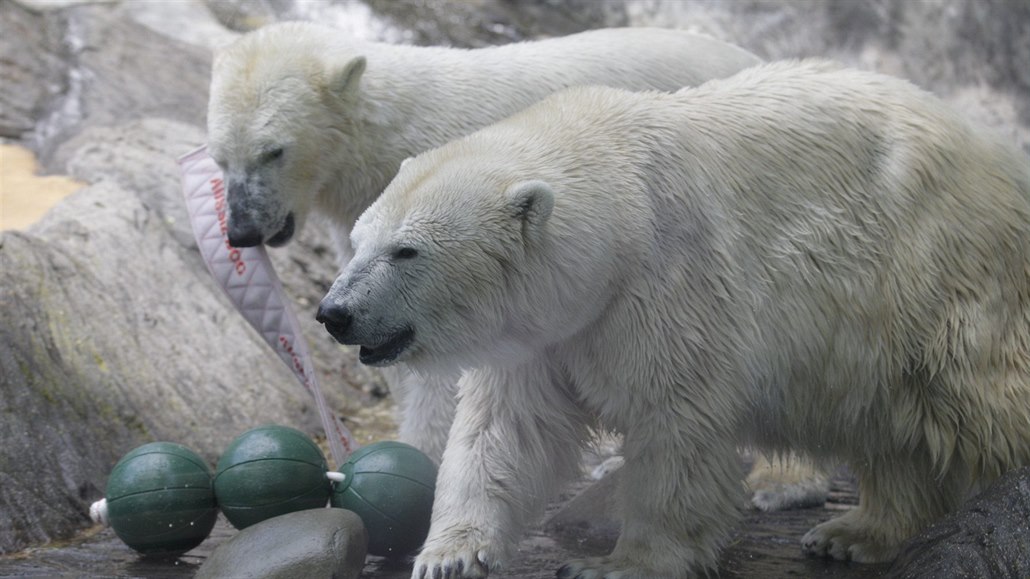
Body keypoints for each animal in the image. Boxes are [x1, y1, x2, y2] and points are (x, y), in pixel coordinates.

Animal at [317, 59, 1030, 576]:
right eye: (359, 239)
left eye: (406, 250)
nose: (334, 313)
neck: (622, 206)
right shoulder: (547, 334)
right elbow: (506, 431)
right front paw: (451, 553)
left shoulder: (669, 285)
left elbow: (675, 426)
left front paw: (615, 565)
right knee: (892, 427)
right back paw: (854, 532)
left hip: (940, 273)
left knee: (979, 394)